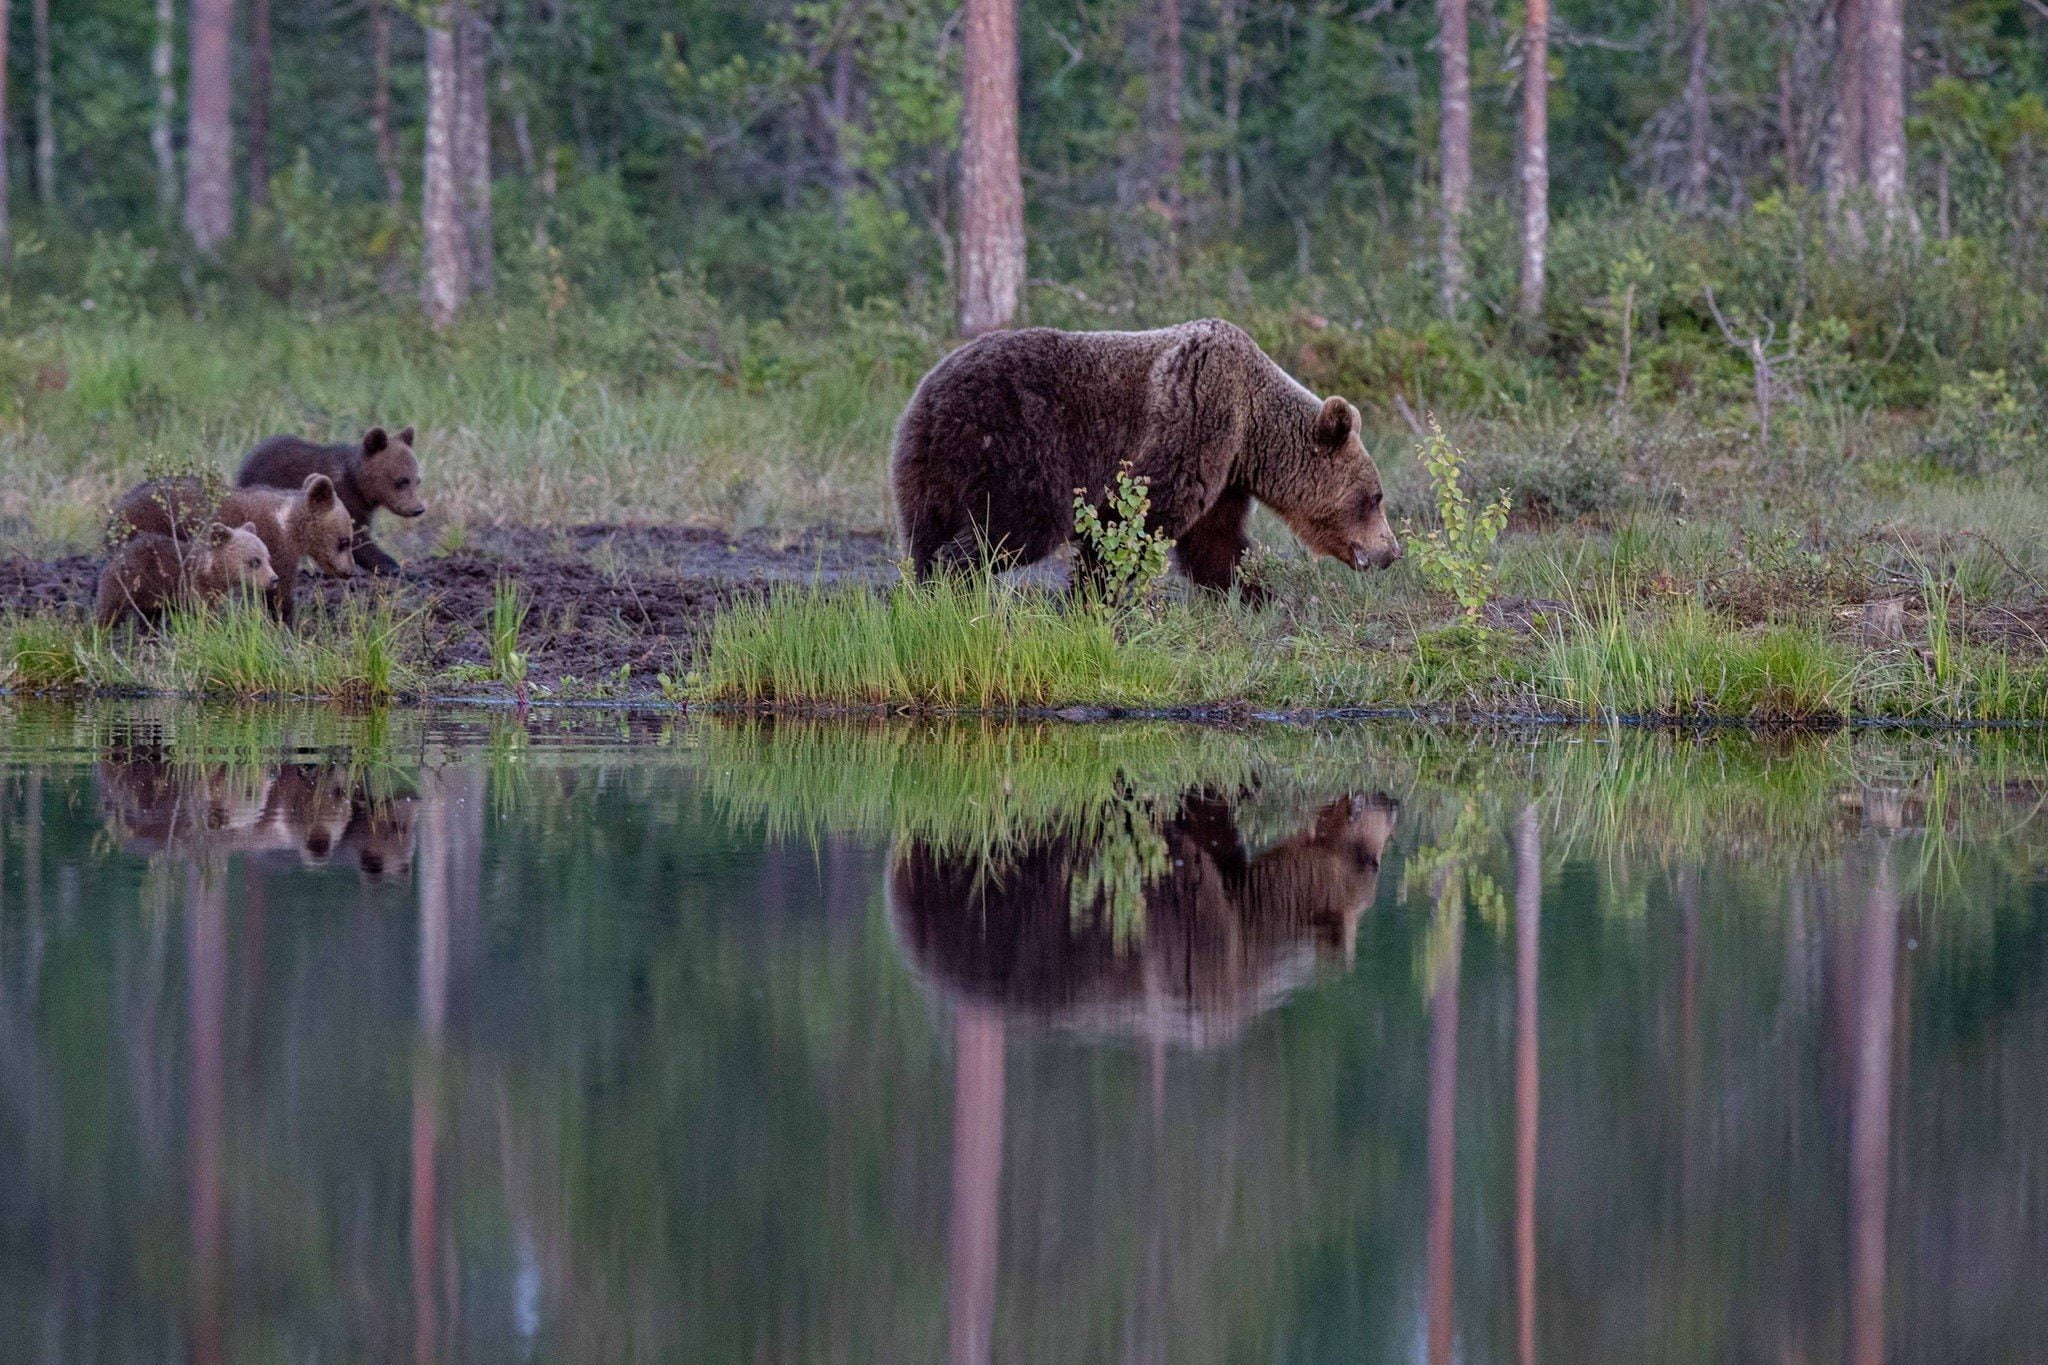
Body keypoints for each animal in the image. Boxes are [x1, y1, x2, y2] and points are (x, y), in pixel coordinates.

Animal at [95, 522, 277, 629]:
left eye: (268, 558)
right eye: (255, 561)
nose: (274, 579)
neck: (211, 572)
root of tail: (116, 556)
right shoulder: (192, 587)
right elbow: (202, 614)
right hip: (127, 583)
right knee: (109, 611)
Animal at [112, 472, 357, 625]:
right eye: (345, 541)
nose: (350, 571)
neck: (290, 525)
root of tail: (117, 510)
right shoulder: (276, 545)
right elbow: (280, 590)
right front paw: (285, 621)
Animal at [236, 425, 425, 576]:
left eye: (417, 480)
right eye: (401, 481)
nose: (419, 509)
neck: (358, 484)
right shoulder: (344, 500)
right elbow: (356, 539)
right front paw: (394, 567)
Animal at [890, 319, 1399, 598]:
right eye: (1374, 497)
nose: (1391, 551)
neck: (1251, 431)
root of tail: (931, 394)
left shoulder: (1223, 472)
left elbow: (1215, 544)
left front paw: (1263, 596)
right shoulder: (1195, 421)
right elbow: (1136, 520)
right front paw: (1090, 600)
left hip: (926, 469)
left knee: (923, 538)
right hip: (1015, 446)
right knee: (1009, 528)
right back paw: (955, 586)